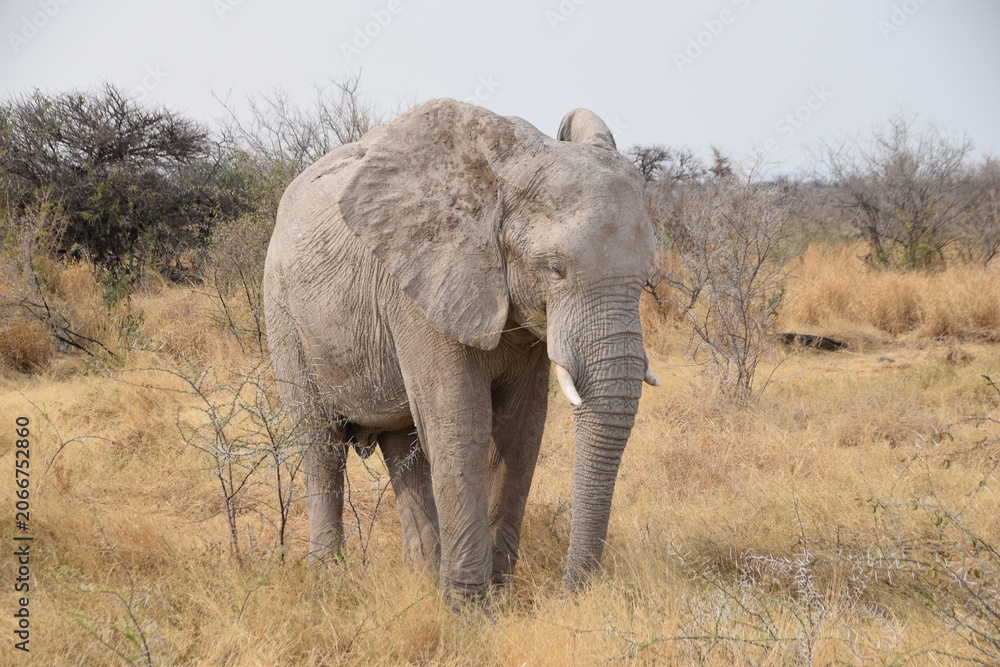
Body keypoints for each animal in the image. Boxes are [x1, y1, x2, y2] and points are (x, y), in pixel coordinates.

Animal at [263, 98, 658, 602]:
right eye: (555, 269)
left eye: (647, 276)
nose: (569, 593)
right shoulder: (419, 287)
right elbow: (460, 423)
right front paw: (471, 608)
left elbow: (521, 431)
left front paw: (498, 597)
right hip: (284, 315)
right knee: (320, 444)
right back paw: (329, 581)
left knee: (404, 447)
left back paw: (423, 574)